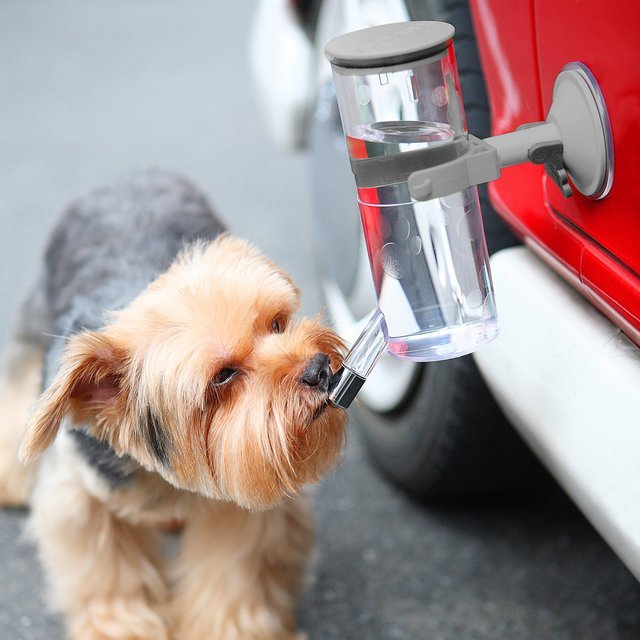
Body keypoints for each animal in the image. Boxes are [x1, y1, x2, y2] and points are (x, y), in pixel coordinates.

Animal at [0, 170, 344, 640]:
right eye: (223, 376)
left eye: (277, 323)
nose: (319, 369)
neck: (165, 479)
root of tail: (130, 176)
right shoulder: (79, 493)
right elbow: (107, 571)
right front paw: (124, 625)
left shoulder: (244, 497)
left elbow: (233, 572)